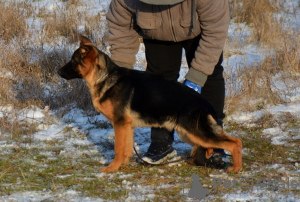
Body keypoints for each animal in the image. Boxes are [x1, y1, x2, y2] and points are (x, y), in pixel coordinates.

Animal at [57, 35, 243, 173]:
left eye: (73, 61)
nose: (58, 71)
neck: (104, 77)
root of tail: (204, 102)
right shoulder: (126, 127)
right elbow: (126, 148)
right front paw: (123, 165)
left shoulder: (119, 124)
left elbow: (118, 148)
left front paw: (111, 168)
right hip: (188, 133)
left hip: (196, 132)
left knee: (235, 142)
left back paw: (235, 168)